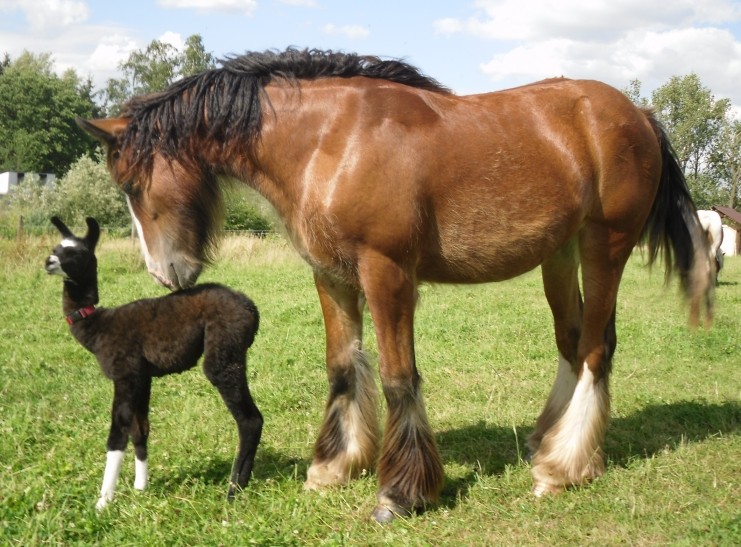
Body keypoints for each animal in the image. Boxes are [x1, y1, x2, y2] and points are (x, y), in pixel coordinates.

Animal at [44, 217, 264, 510]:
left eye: (77, 253)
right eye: (56, 248)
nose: (48, 261)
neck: (98, 328)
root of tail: (251, 309)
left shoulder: (125, 373)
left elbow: (117, 434)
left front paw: (103, 502)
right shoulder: (142, 376)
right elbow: (140, 429)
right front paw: (140, 488)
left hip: (224, 352)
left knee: (249, 420)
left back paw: (233, 490)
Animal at [76, 47, 712, 524]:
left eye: (132, 183)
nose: (166, 274)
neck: (328, 140)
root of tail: (639, 113)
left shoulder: (387, 273)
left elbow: (396, 375)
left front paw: (400, 493)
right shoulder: (331, 276)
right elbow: (342, 367)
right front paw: (332, 467)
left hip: (605, 246)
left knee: (596, 350)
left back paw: (563, 468)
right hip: (559, 255)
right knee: (573, 344)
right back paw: (546, 441)